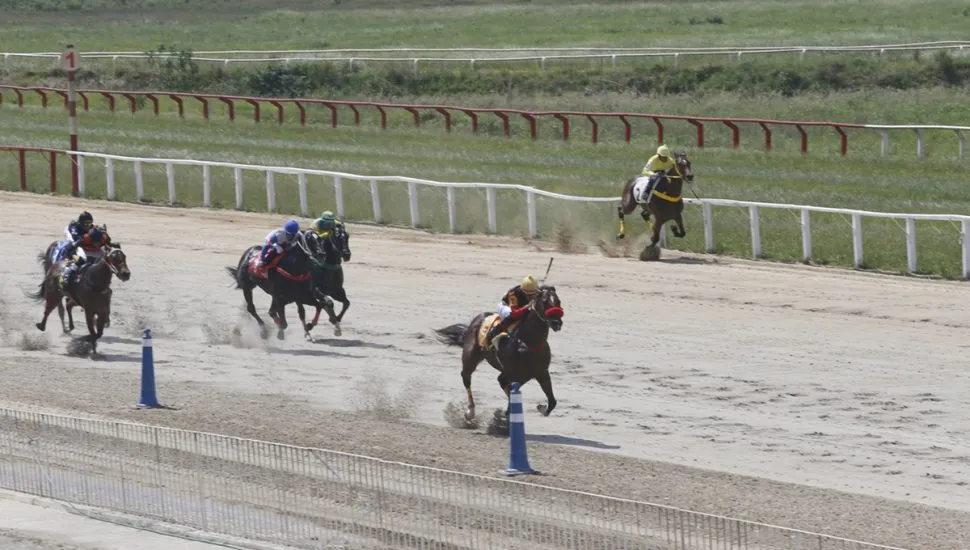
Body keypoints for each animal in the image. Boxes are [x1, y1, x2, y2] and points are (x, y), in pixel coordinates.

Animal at [434, 286, 564, 424]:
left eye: (558, 301)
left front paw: (541, 408)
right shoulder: (511, 375)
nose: (557, 323)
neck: (529, 343)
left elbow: (552, 402)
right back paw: (470, 411)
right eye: (545, 301)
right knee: (466, 377)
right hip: (470, 357)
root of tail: (479, 318)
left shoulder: (541, 373)